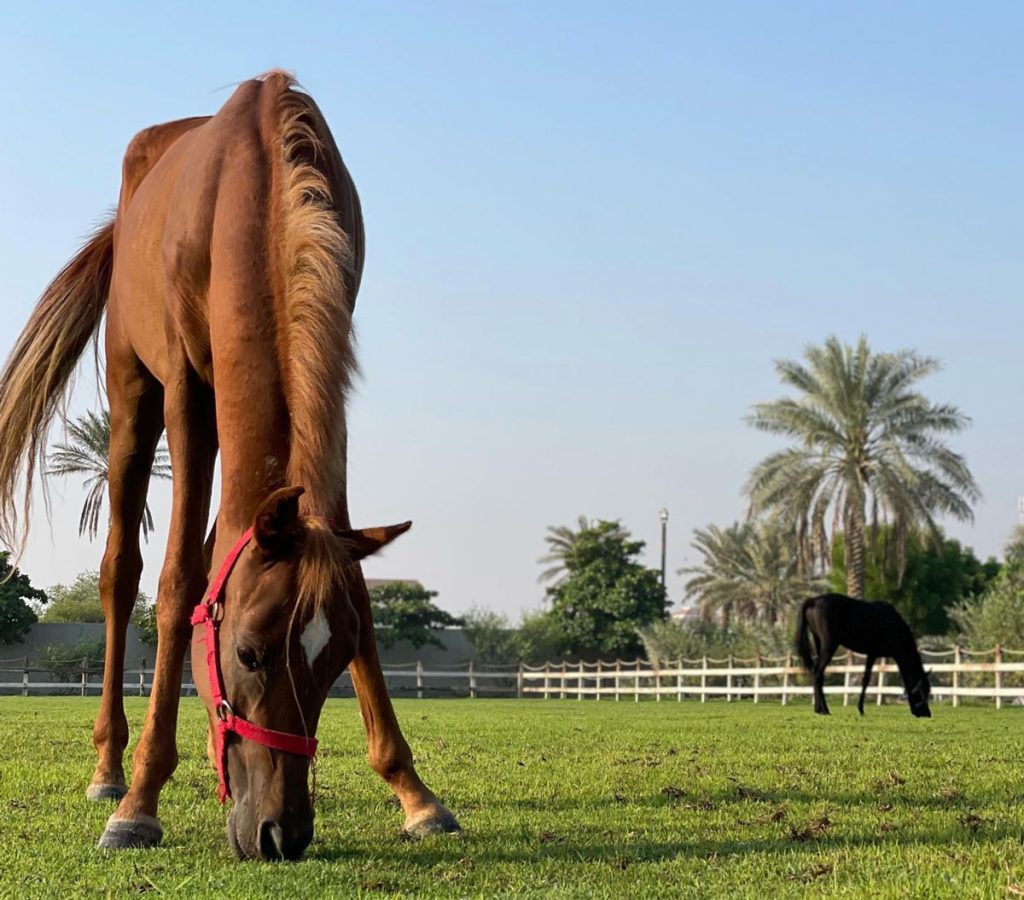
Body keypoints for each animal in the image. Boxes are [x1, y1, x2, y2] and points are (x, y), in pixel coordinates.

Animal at [0, 70, 460, 860]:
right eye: (248, 654)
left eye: (337, 659)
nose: (282, 833)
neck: (255, 180)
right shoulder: (189, 388)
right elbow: (178, 580)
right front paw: (141, 801)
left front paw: (414, 792)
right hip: (133, 398)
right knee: (121, 571)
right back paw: (110, 770)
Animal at [794, 593, 933, 720]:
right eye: (922, 691)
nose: (926, 713)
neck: (893, 624)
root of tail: (814, 600)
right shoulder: (875, 653)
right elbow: (866, 679)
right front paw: (860, 709)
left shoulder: (873, 654)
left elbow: (866, 679)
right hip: (829, 644)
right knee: (818, 671)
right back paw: (821, 708)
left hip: (818, 641)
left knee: (819, 674)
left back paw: (821, 708)